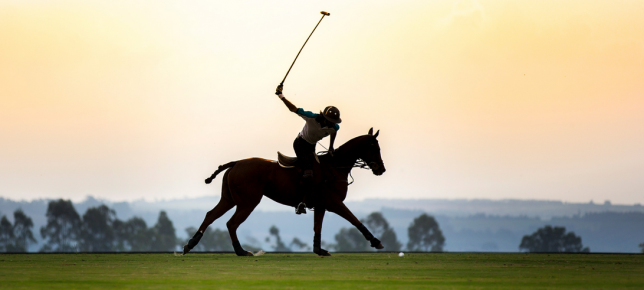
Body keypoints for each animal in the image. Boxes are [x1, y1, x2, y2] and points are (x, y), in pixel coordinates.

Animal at [185, 127, 388, 256]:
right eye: (375, 147)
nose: (381, 169)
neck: (335, 167)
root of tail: (235, 163)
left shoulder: (321, 205)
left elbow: (317, 227)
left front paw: (319, 250)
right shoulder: (334, 203)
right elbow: (355, 220)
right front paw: (376, 241)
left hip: (230, 199)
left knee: (211, 215)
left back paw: (190, 244)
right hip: (248, 202)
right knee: (231, 223)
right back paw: (241, 251)